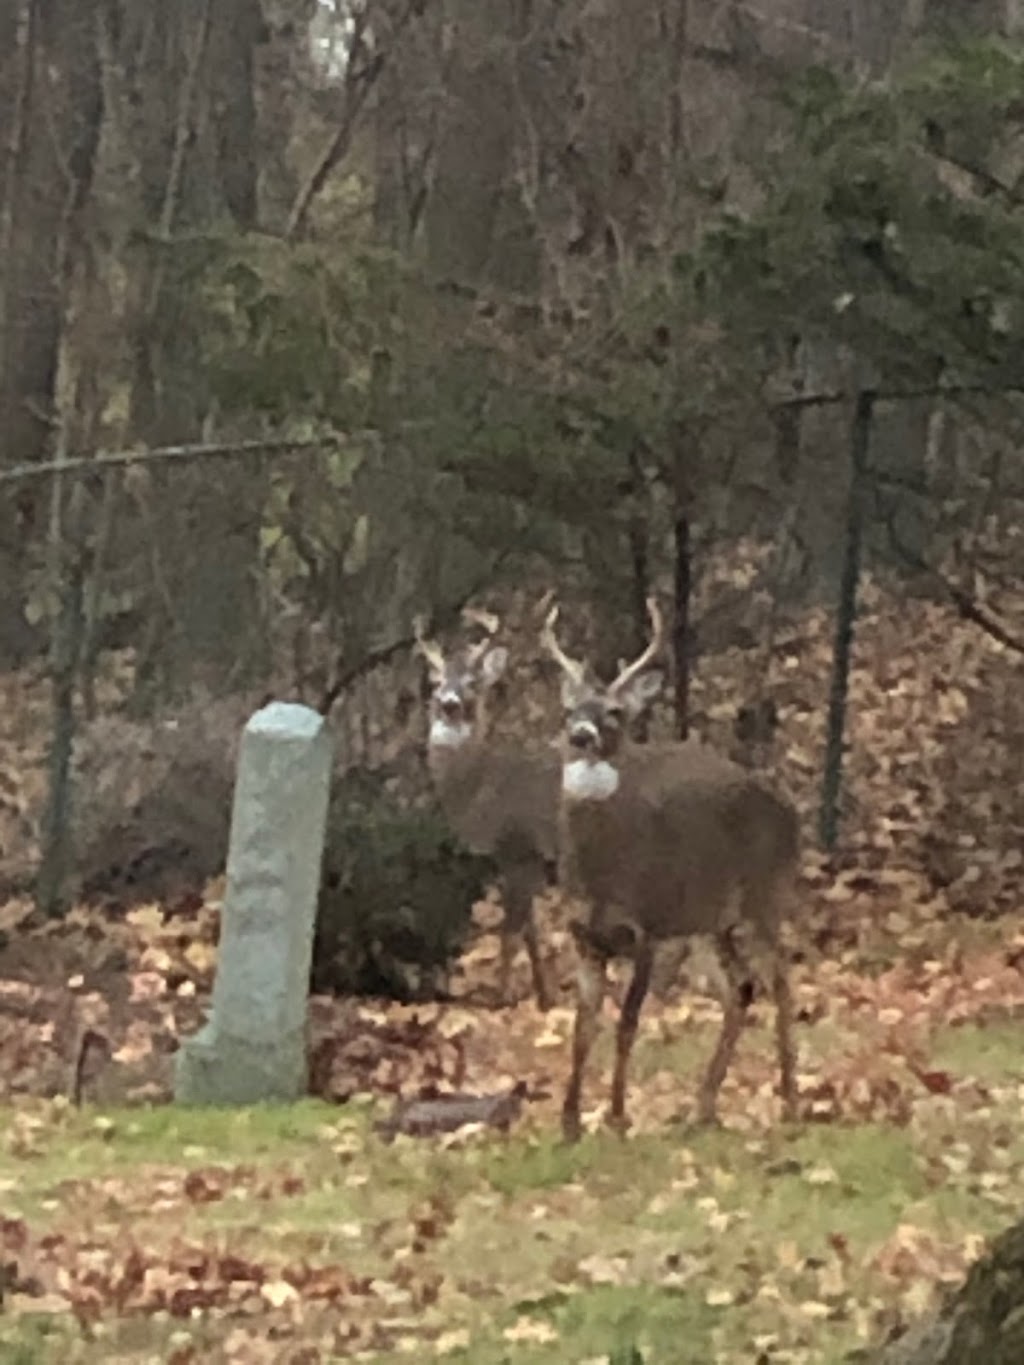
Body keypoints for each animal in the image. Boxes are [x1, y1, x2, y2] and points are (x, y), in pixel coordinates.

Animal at [415, 608, 565, 1015]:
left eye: (472, 681)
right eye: (437, 681)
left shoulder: (520, 849)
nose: (448, 703)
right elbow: (529, 930)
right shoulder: (514, 861)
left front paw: (500, 1000)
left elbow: (509, 932)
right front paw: (544, 999)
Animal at [537, 597, 802, 1141]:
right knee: (740, 989)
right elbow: (582, 1028)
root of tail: (791, 813)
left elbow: (627, 1024)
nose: (581, 735)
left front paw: (618, 1116)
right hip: (708, 923)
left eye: (614, 713)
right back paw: (703, 1106)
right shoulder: (583, 938)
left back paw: (790, 1102)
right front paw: (570, 1123)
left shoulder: (648, 931)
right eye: (569, 710)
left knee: (782, 984)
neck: (602, 877)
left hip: (766, 896)